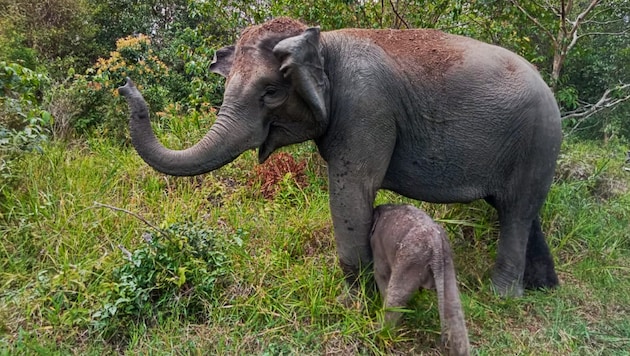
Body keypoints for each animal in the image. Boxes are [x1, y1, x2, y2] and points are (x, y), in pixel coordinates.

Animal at [118, 16, 564, 296]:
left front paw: (353, 301)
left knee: (516, 212)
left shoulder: (366, 108)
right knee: (522, 211)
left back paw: (502, 296)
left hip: (538, 140)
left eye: (270, 92)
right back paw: (543, 288)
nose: (125, 84)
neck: (322, 41)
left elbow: (352, 191)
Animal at [372, 204, 472, 354]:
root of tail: (436, 245)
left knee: (395, 298)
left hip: (411, 260)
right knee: (454, 308)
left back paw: (379, 336)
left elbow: (381, 275)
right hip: (447, 262)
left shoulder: (378, 252)